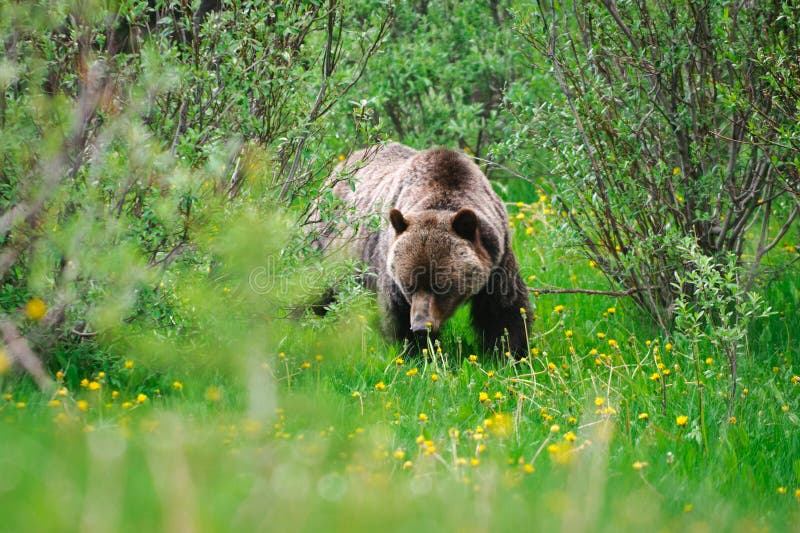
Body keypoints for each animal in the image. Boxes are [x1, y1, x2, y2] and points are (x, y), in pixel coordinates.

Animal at [312, 143, 532, 356]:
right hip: (326, 249)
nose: (420, 327)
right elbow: (397, 316)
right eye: (408, 285)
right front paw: (416, 350)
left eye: (441, 286)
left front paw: (510, 353)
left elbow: (504, 311)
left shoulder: (498, 259)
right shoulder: (389, 267)